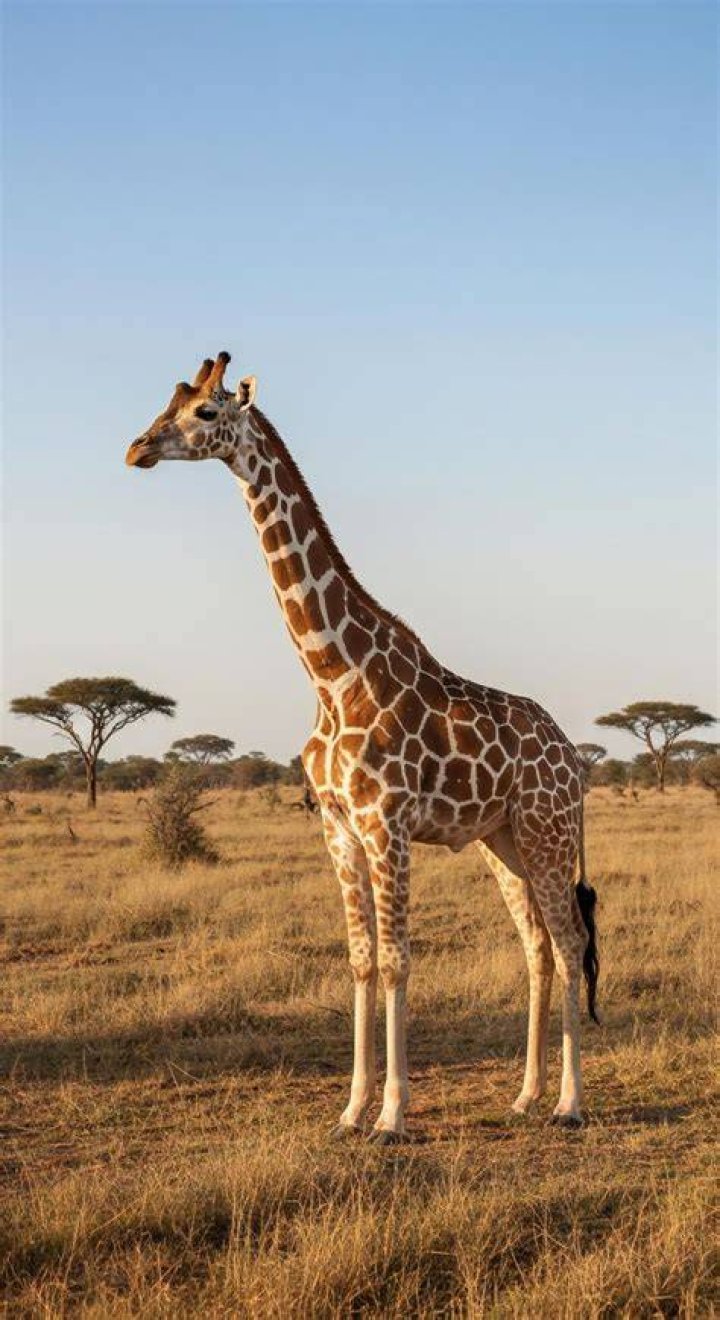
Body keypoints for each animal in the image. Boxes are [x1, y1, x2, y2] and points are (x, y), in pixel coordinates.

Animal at [125, 352, 599, 1142]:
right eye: (170, 401)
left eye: (205, 413)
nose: (137, 449)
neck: (331, 673)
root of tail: (574, 759)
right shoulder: (339, 828)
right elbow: (360, 961)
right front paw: (350, 1110)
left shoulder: (388, 826)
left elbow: (399, 961)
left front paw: (394, 1115)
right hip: (501, 841)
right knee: (535, 946)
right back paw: (525, 1095)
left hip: (547, 832)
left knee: (567, 948)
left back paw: (567, 1103)